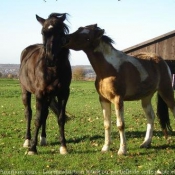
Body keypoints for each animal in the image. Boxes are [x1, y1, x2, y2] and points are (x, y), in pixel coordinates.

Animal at [19, 12, 71, 154]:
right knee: (28, 113)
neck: (52, 70)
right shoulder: (39, 94)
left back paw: (43, 139)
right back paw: (27, 140)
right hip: (26, 91)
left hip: (48, 96)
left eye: (60, 32)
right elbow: (37, 118)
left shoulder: (64, 94)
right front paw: (32, 148)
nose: (50, 59)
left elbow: (60, 118)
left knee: (45, 114)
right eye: (43, 32)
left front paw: (63, 146)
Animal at [64, 23, 175, 155]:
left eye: (86, 36)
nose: (65, 39)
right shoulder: (103, 100)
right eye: (79, 29)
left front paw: (122, 150)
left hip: (166, 92)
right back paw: (146, 143)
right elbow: (107, 124)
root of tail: (163, 62)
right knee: (151, 117)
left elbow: (120, 125)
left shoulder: (118, 100)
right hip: (146, 98)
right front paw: (105, 148)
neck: (108, 69)